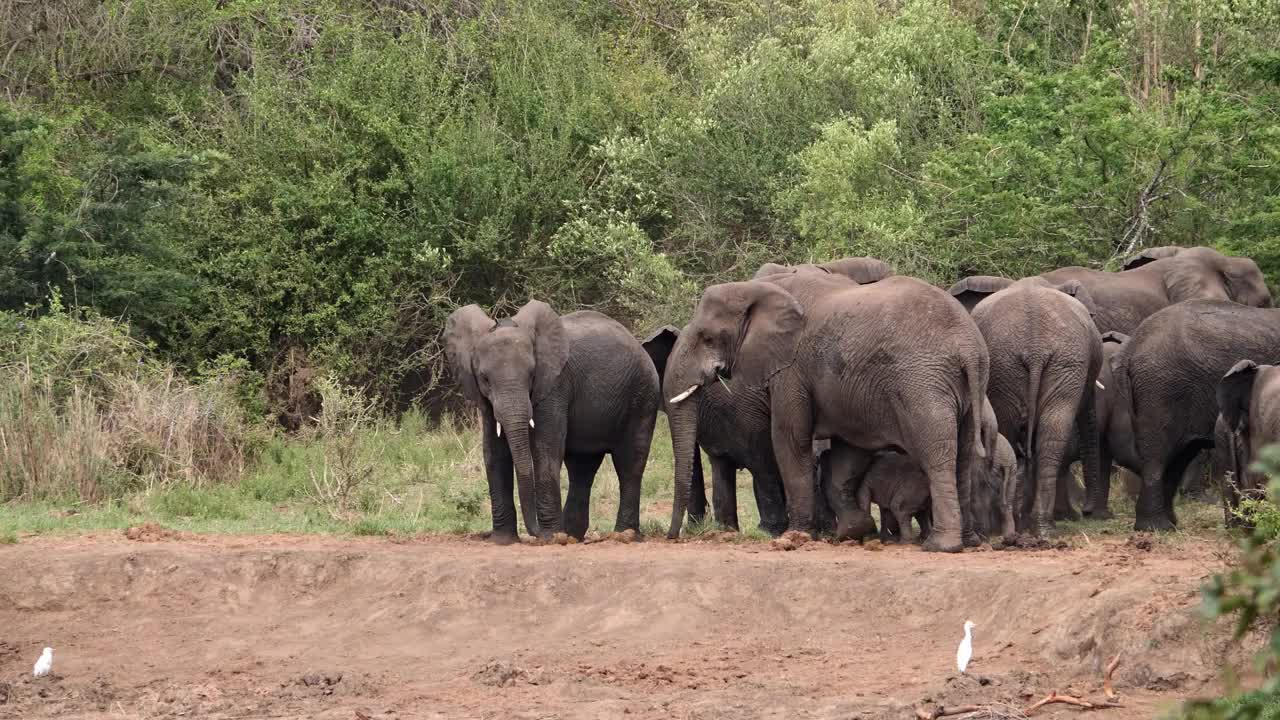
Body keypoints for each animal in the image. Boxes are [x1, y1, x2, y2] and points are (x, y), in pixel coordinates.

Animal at [665, 269, 983, 548]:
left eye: (708, 338)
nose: (672, 536)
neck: (759, 288)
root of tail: (969, 347)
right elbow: (847, 453)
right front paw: (852, 531)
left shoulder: (791, 367)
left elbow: (790, 439)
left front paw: (797, 536)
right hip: (964, 391)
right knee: (964, 458)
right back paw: (970, 542)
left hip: (923, 385)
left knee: (937, 456)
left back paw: (942, 546)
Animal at [952, 274, 1100, 532]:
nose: (1088, 512)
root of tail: (1036, 350)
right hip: (1027, 362)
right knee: (1041, 433)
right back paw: (1034, 524)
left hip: (1051, 361)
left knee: (1043, 433)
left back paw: (1036, 525)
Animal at [1116, 299, 1280, 530]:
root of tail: (1131, 346)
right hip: (1161, 388)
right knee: (1158, 455)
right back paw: (1156, 527)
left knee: (1178, 457)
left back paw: (1170, 524)